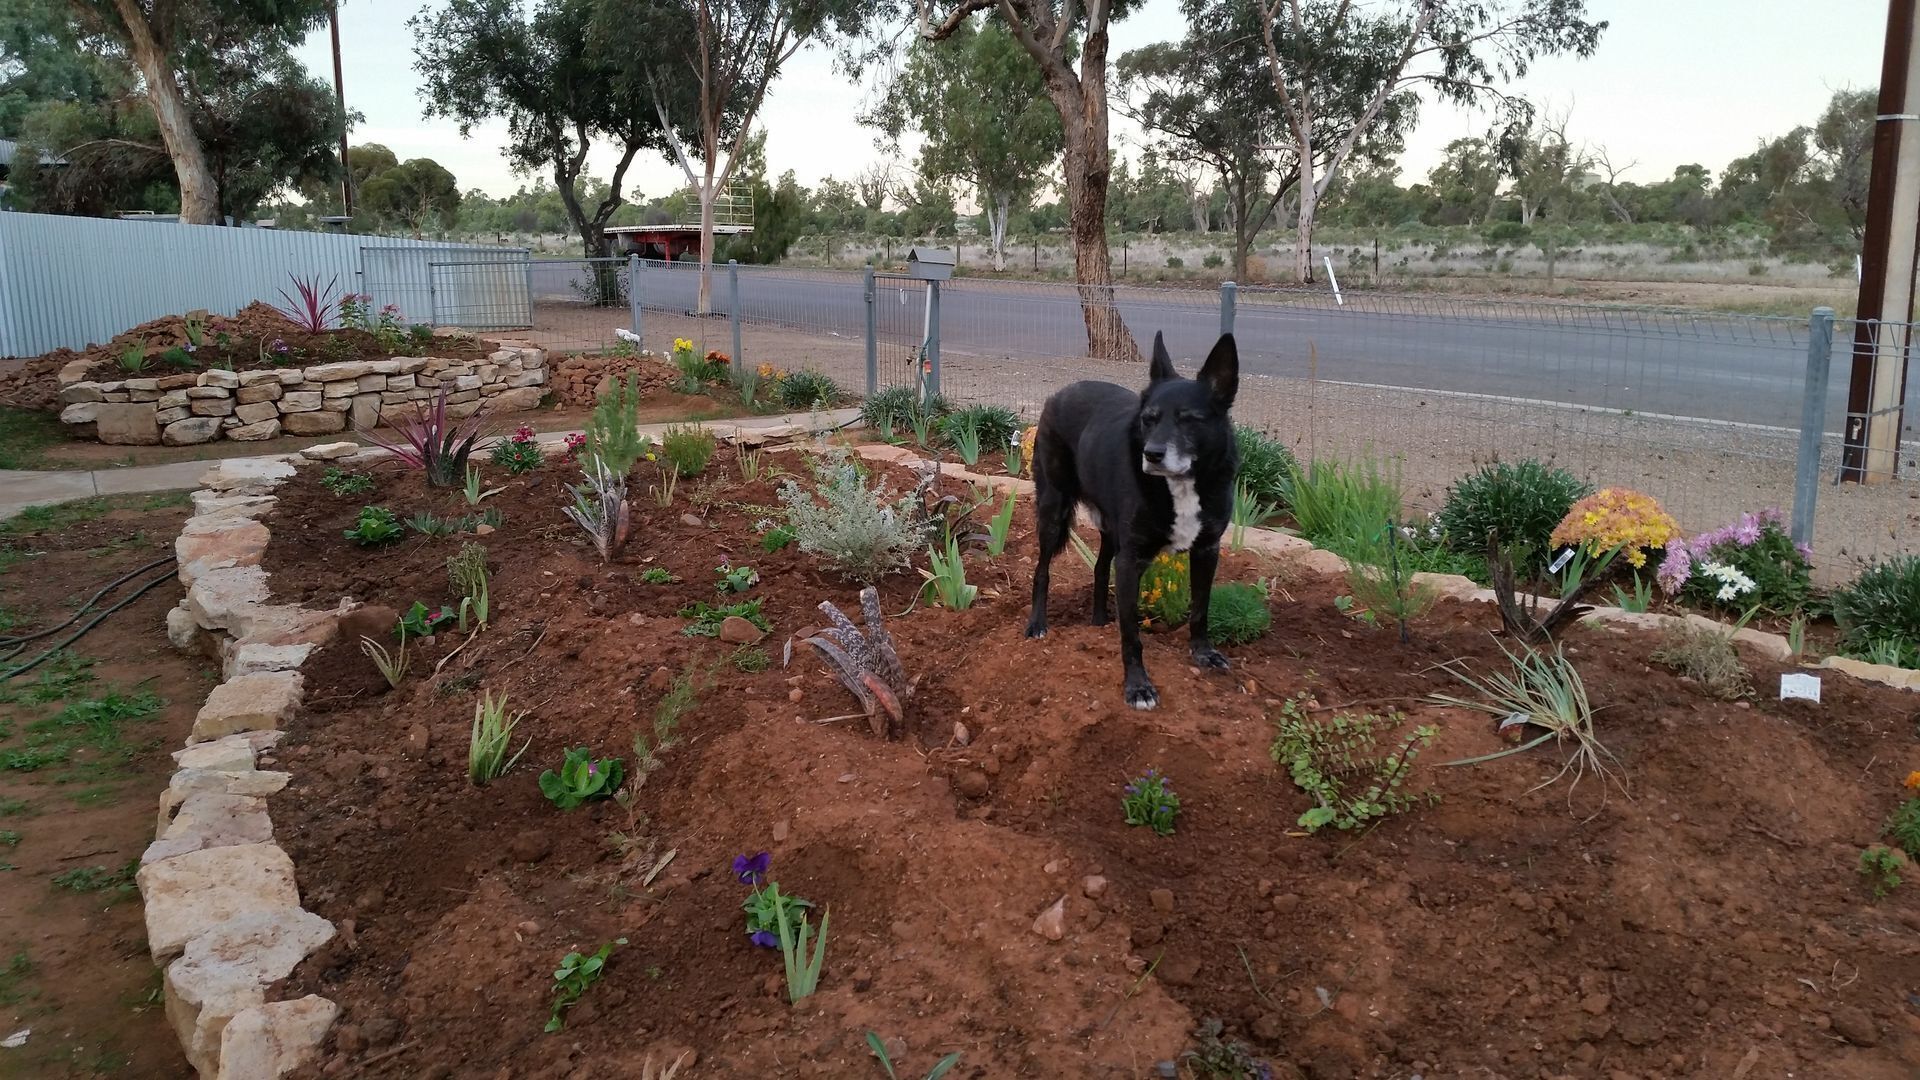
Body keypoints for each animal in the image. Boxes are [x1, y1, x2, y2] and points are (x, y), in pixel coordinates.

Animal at [1029, 332, 1236, 711]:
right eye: (1149, 419)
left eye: (1189, 419)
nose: (1151, 455)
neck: (1180, 485)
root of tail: (1060, 393)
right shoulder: (1131, 560)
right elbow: (1131, 633)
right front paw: (1138, 686)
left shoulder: (1207, 551)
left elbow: (1200, 608)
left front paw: (1203, 653)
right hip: (1053, 509)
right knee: (1042, 570)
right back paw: (1037, 624)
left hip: (1111, 530)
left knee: (1099, 568)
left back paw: (1098, 621)